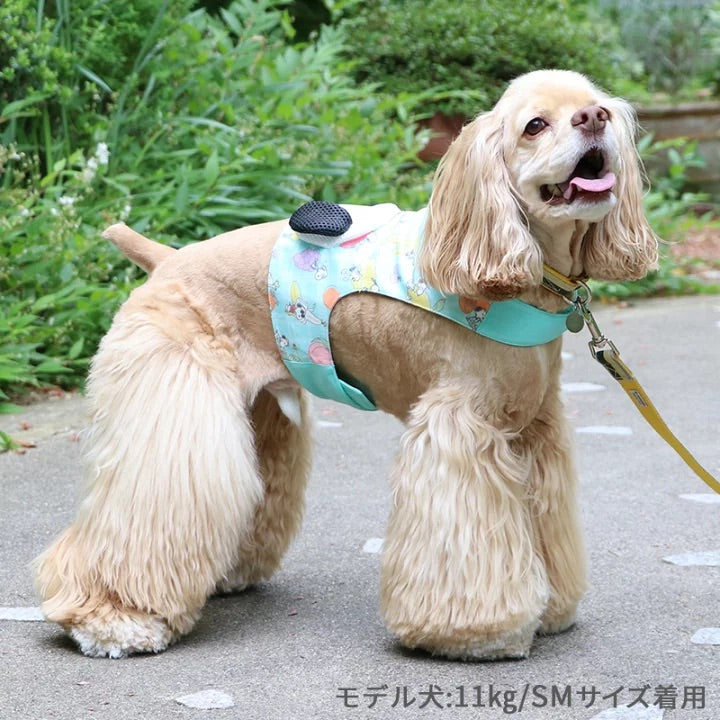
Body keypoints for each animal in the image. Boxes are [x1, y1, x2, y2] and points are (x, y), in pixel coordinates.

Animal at [35, 70, 660, 660]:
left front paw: (550, 608)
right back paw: (115, 619)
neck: (519, 272)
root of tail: (166, 261)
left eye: (597, 107)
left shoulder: (534, 429)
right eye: (535, 125)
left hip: (259, 409)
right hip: (176, 405)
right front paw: (476, 634)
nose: (594, 118)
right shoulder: (459, 430)